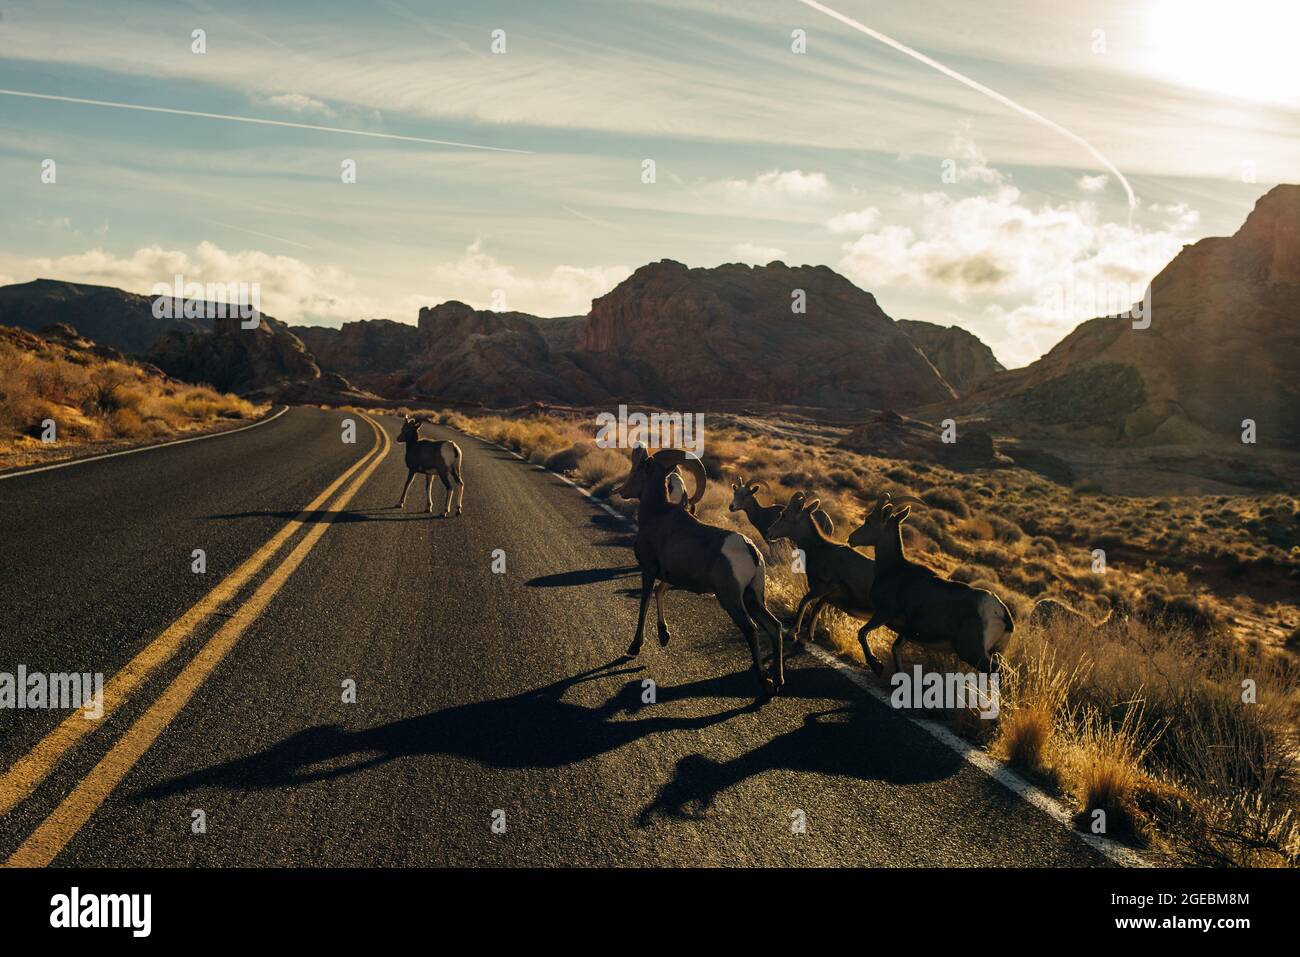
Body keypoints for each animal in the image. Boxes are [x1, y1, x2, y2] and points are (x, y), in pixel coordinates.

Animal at [616, 444, 780, 696]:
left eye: (639, 468)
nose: (623, 492)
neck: (656, 514)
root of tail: (751, 551)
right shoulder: (671, 577)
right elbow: (659, 593)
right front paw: (664, 636)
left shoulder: (649, 570)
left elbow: (644, 602)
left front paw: (635, 647)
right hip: (753, 597)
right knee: (775, 627)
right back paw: (778, 680)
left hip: (732, 599)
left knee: (751, 629)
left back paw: (764, 681)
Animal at [842, 494, 1013, 670]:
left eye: (869, 520)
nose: (851, 539)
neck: (894, 568)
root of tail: (1002, 614)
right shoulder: (906, 632)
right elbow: (895, 649)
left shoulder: (885, 612)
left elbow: (862, 633)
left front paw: (876, 665)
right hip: (993, 652)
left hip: (972, 653)